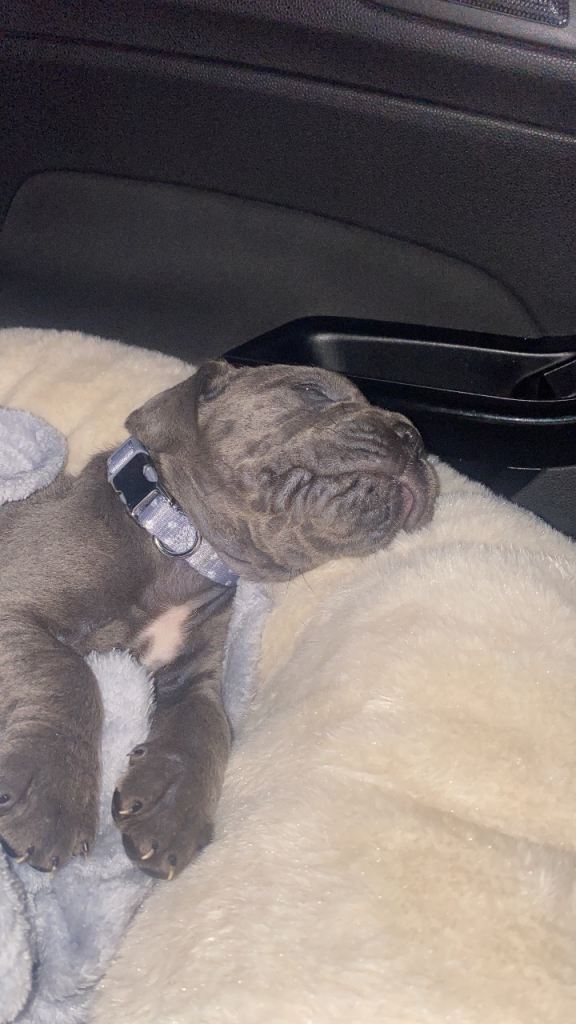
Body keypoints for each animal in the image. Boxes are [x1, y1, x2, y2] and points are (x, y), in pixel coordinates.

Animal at [0, 360, 437, 880]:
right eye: (312, 391)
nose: (414, 438)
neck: (178, 542)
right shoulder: (14, 605)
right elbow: (68, 675)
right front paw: (50, 797)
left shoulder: (192, 678)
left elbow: (206, 728)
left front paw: (171, 810)